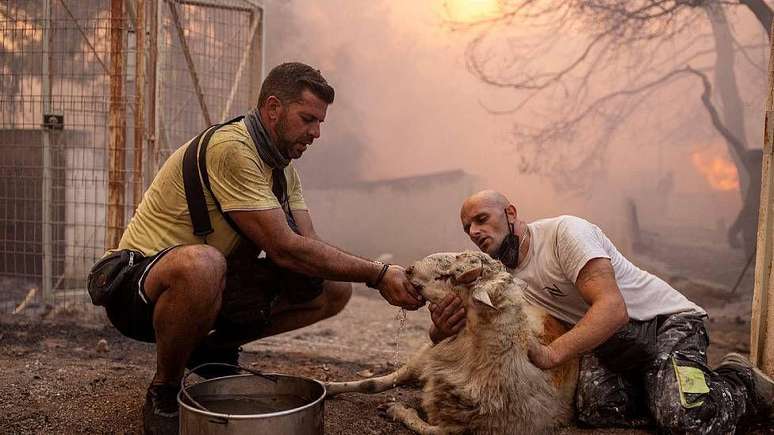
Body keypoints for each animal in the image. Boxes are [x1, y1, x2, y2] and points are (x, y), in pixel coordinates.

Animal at [324, 252, 580, 435]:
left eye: (448, 277)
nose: (409, 269)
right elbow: (372, 384)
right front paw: (330, 388)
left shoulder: (463, 428)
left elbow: (429, 430)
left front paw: (397, 409)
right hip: (425, 355)